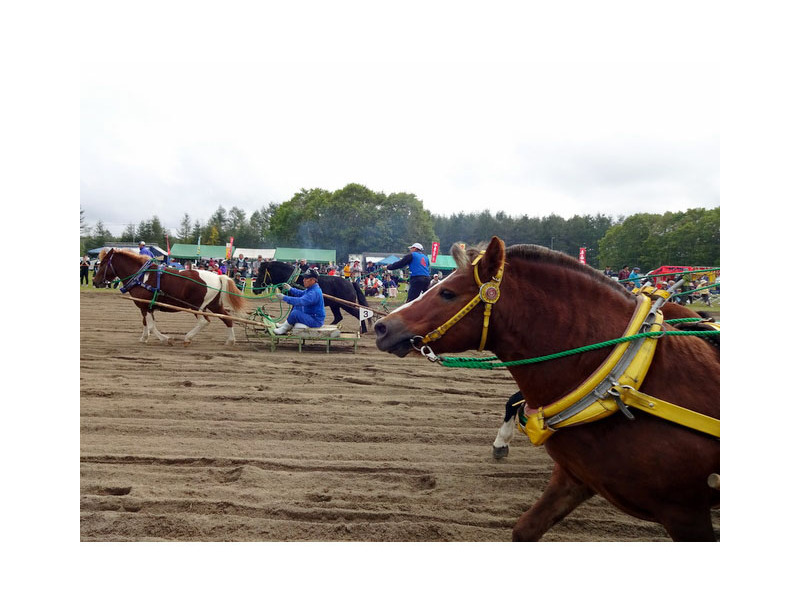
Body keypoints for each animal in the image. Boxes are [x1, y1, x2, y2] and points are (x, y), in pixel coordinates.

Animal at [93, 249, 245, 344]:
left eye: (104, 263)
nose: (95, 281)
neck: (141, 276)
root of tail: (218, 276)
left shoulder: (146, 306)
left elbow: (151, 326)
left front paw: (165, 339)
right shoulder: (144, 307)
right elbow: (145, 323)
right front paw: (143, 338)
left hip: (197, 307)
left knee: (204, 321)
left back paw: (188, 337)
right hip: (214, 305)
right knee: (227, 318)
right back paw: (230, 341)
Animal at [376, 236, 720, 544]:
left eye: (447, 293)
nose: (382, 327)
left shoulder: (685, 512)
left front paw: (501, 442)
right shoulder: (575, 478)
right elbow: (525, 530)